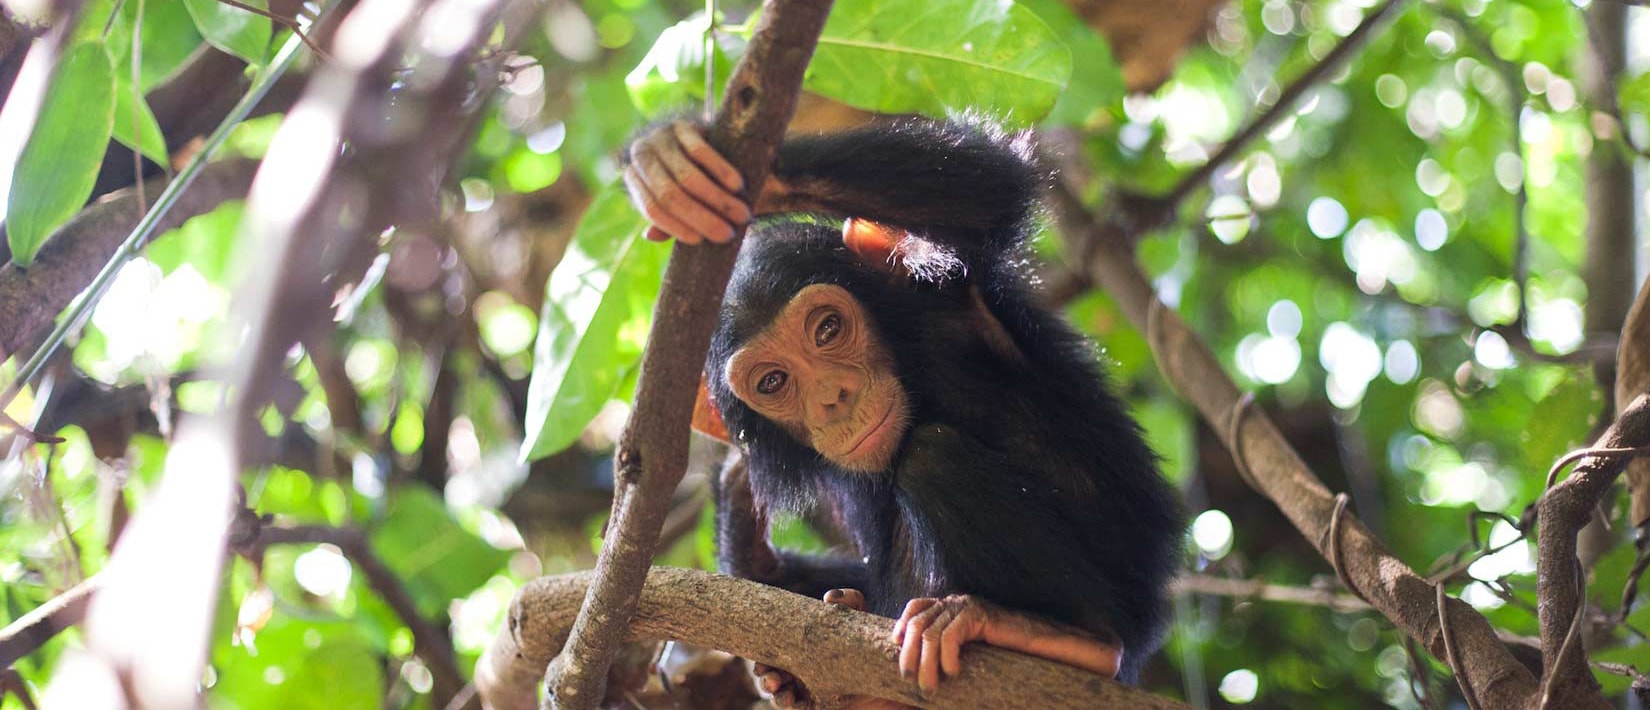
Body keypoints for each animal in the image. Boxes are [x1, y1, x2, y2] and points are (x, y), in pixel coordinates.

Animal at [623, 117, 1184, 705]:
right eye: (773, 381)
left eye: (827, 329)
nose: (834, 395)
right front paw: (741, 514)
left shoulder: (945, 287)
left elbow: (983, 193)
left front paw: (681, 164)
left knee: (933, 456)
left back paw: (1072, 636)